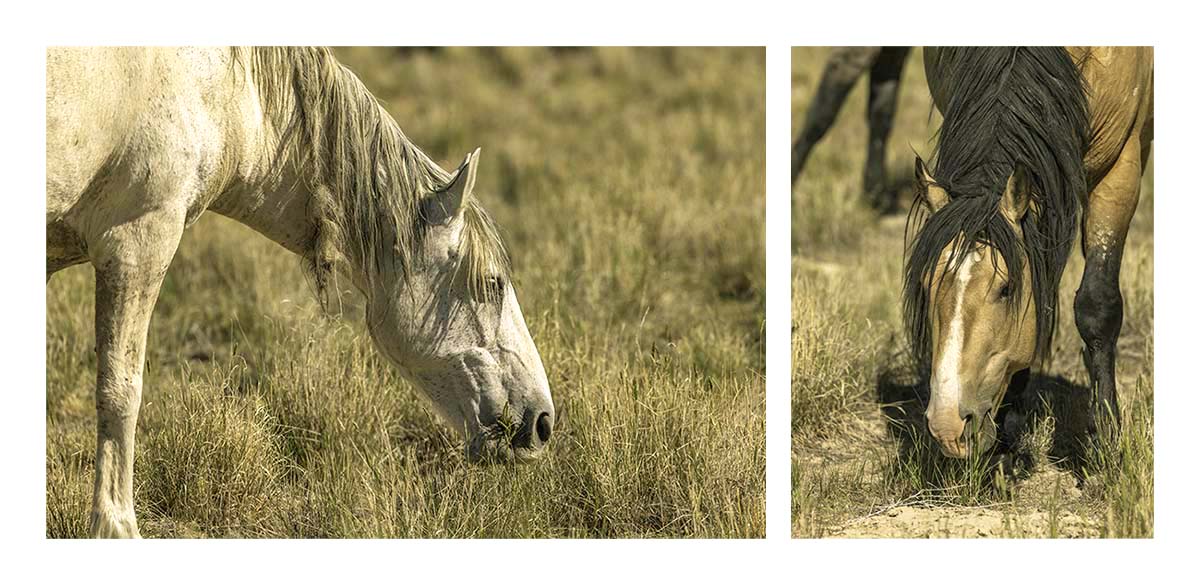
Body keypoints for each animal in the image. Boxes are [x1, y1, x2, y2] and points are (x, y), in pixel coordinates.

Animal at [46, 47, 556, 538]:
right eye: (492, 283)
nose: (542, 422)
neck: (221, 88)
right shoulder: (138, 243)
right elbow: (120, 392)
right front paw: (115, 527)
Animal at [903, 47, 1152, 458]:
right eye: (926, 285)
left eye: (1006, 290)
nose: (948, 429)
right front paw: (1009, 431)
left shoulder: (1122, 164)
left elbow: (1097, 305)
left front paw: (1104, 437)